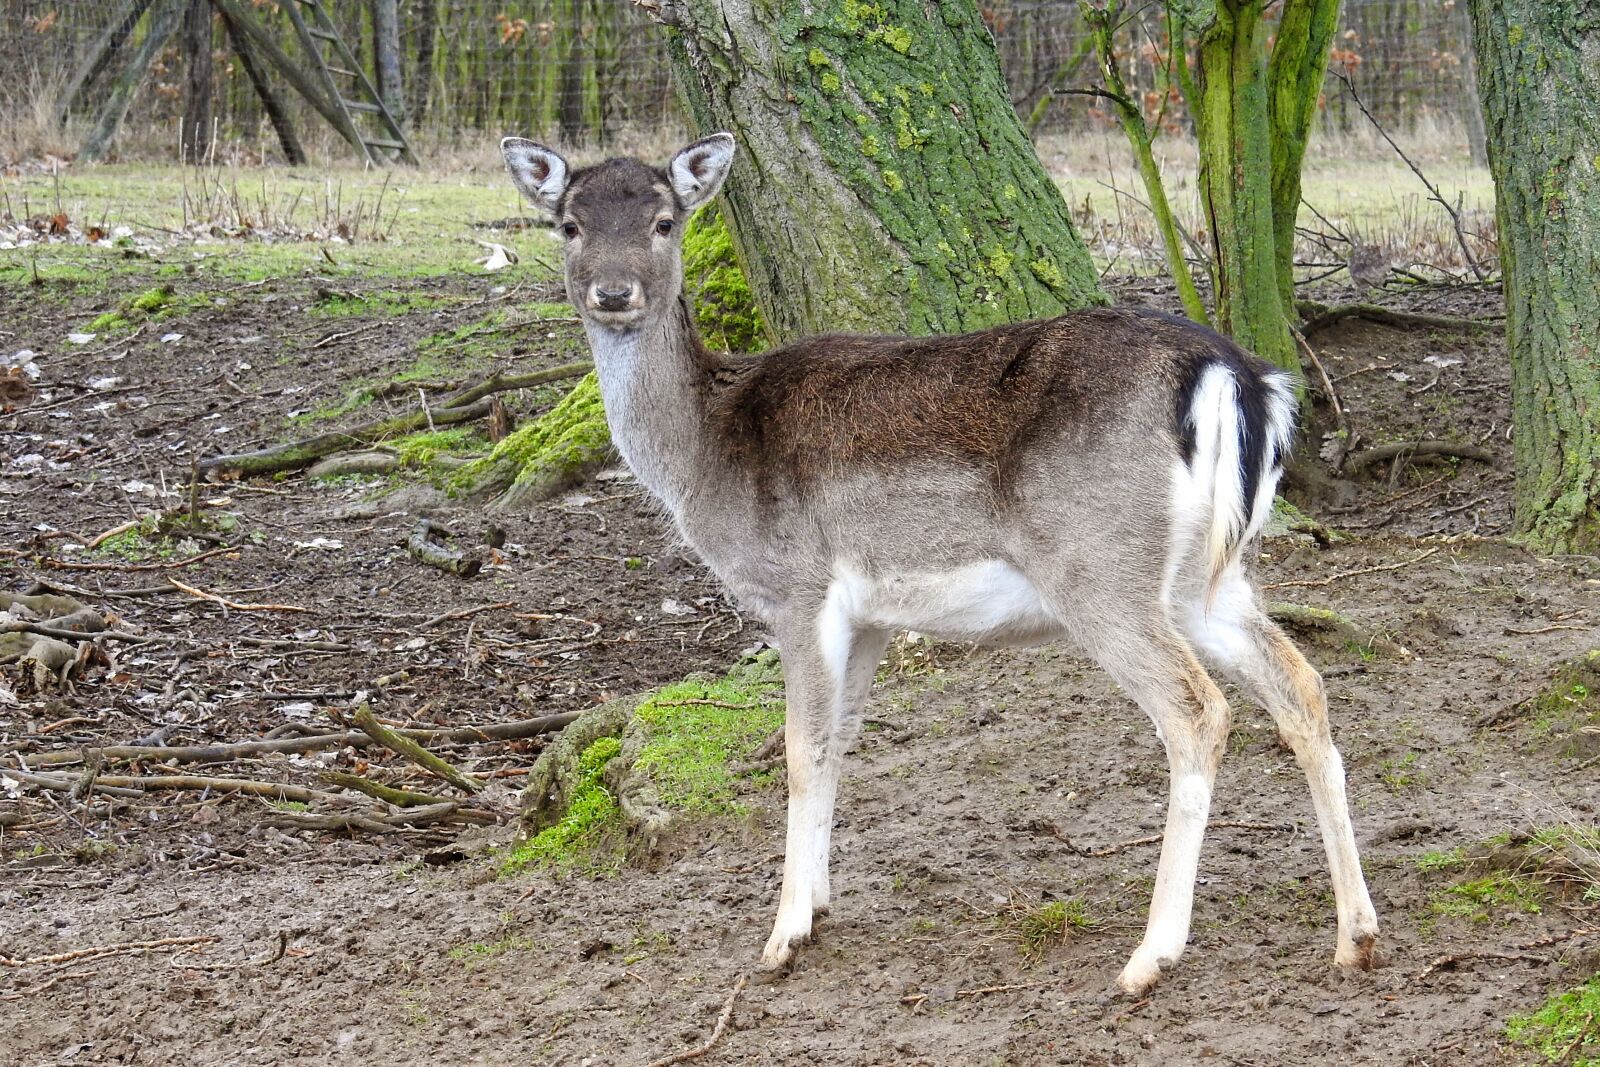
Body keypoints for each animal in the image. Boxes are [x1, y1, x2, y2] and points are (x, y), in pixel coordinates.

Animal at [499, 132, 1380, 995]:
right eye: (569, 223)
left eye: (664, 221)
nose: (614, 293)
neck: (708, 453)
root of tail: (1245, 380)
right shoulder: (870, 619)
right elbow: (841, 739)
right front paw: (819, 903)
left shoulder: (799, 588)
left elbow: (799, 748)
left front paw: (782, 936)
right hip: (1211, 575)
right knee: (1302, 684)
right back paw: (1356, 934)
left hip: (1100, 567)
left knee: (1198, 709)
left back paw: (1150, 956)